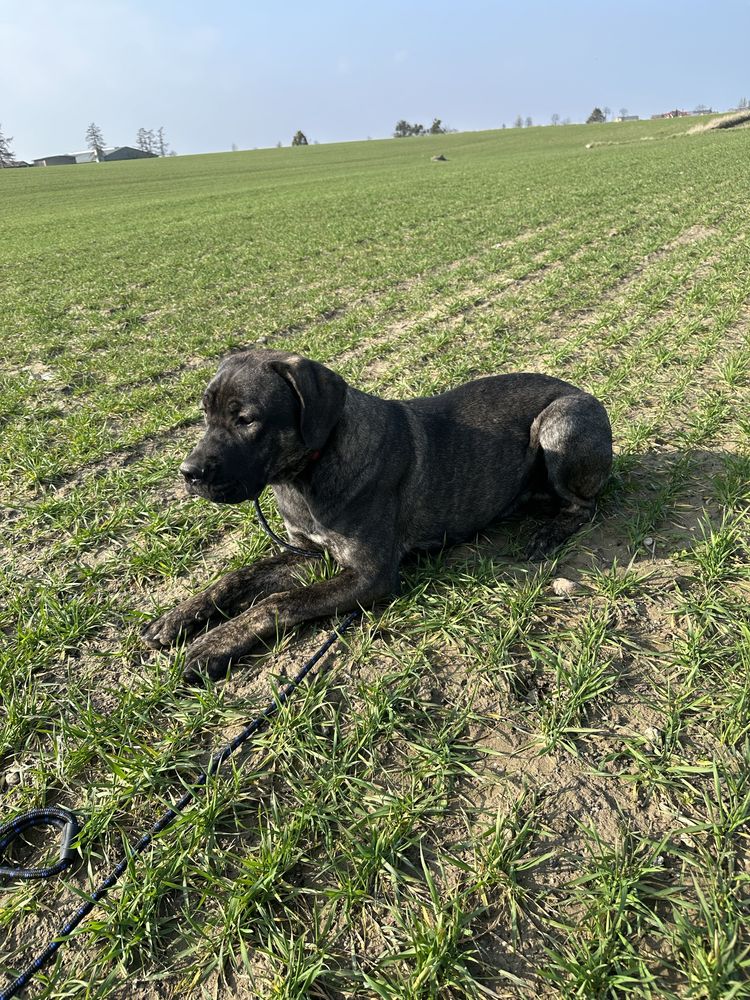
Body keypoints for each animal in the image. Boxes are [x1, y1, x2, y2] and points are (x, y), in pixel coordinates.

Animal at [141, 350, 612, 680]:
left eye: (246, 419)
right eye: (205, 413)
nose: (188, 474)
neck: (307, 473)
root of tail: (587, 394)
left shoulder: (370, 574)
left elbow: (277, 603)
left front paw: (213, 644)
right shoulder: (307, 553)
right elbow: (237, 577)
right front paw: (178, 617)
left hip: (559, 423)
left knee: (585, 506)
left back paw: (548, 532)